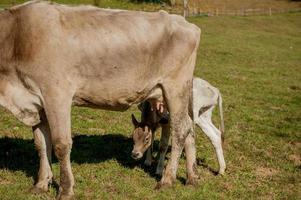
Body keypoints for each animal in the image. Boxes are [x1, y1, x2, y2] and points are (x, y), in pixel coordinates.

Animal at [0, 1, 200, 198]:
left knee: (180, 129)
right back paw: (192, 177)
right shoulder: (36, 101)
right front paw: (41, 184)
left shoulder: (56, 94)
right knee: (189, 128)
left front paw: (66, 189)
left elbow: (61, 144)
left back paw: (167, 180)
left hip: (175, 87)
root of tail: (187, 24)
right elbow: (41, 144)